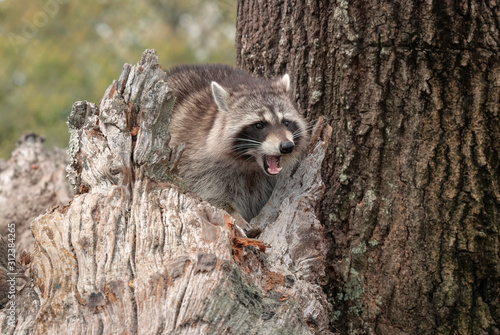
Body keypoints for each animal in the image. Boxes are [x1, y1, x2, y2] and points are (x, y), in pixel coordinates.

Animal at [167, 65, 308, 223]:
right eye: (259, 125)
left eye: (286, 122)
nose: (287, 146)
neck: (251, 165)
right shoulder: (197, 160)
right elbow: (209, 194)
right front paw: (235, 215)